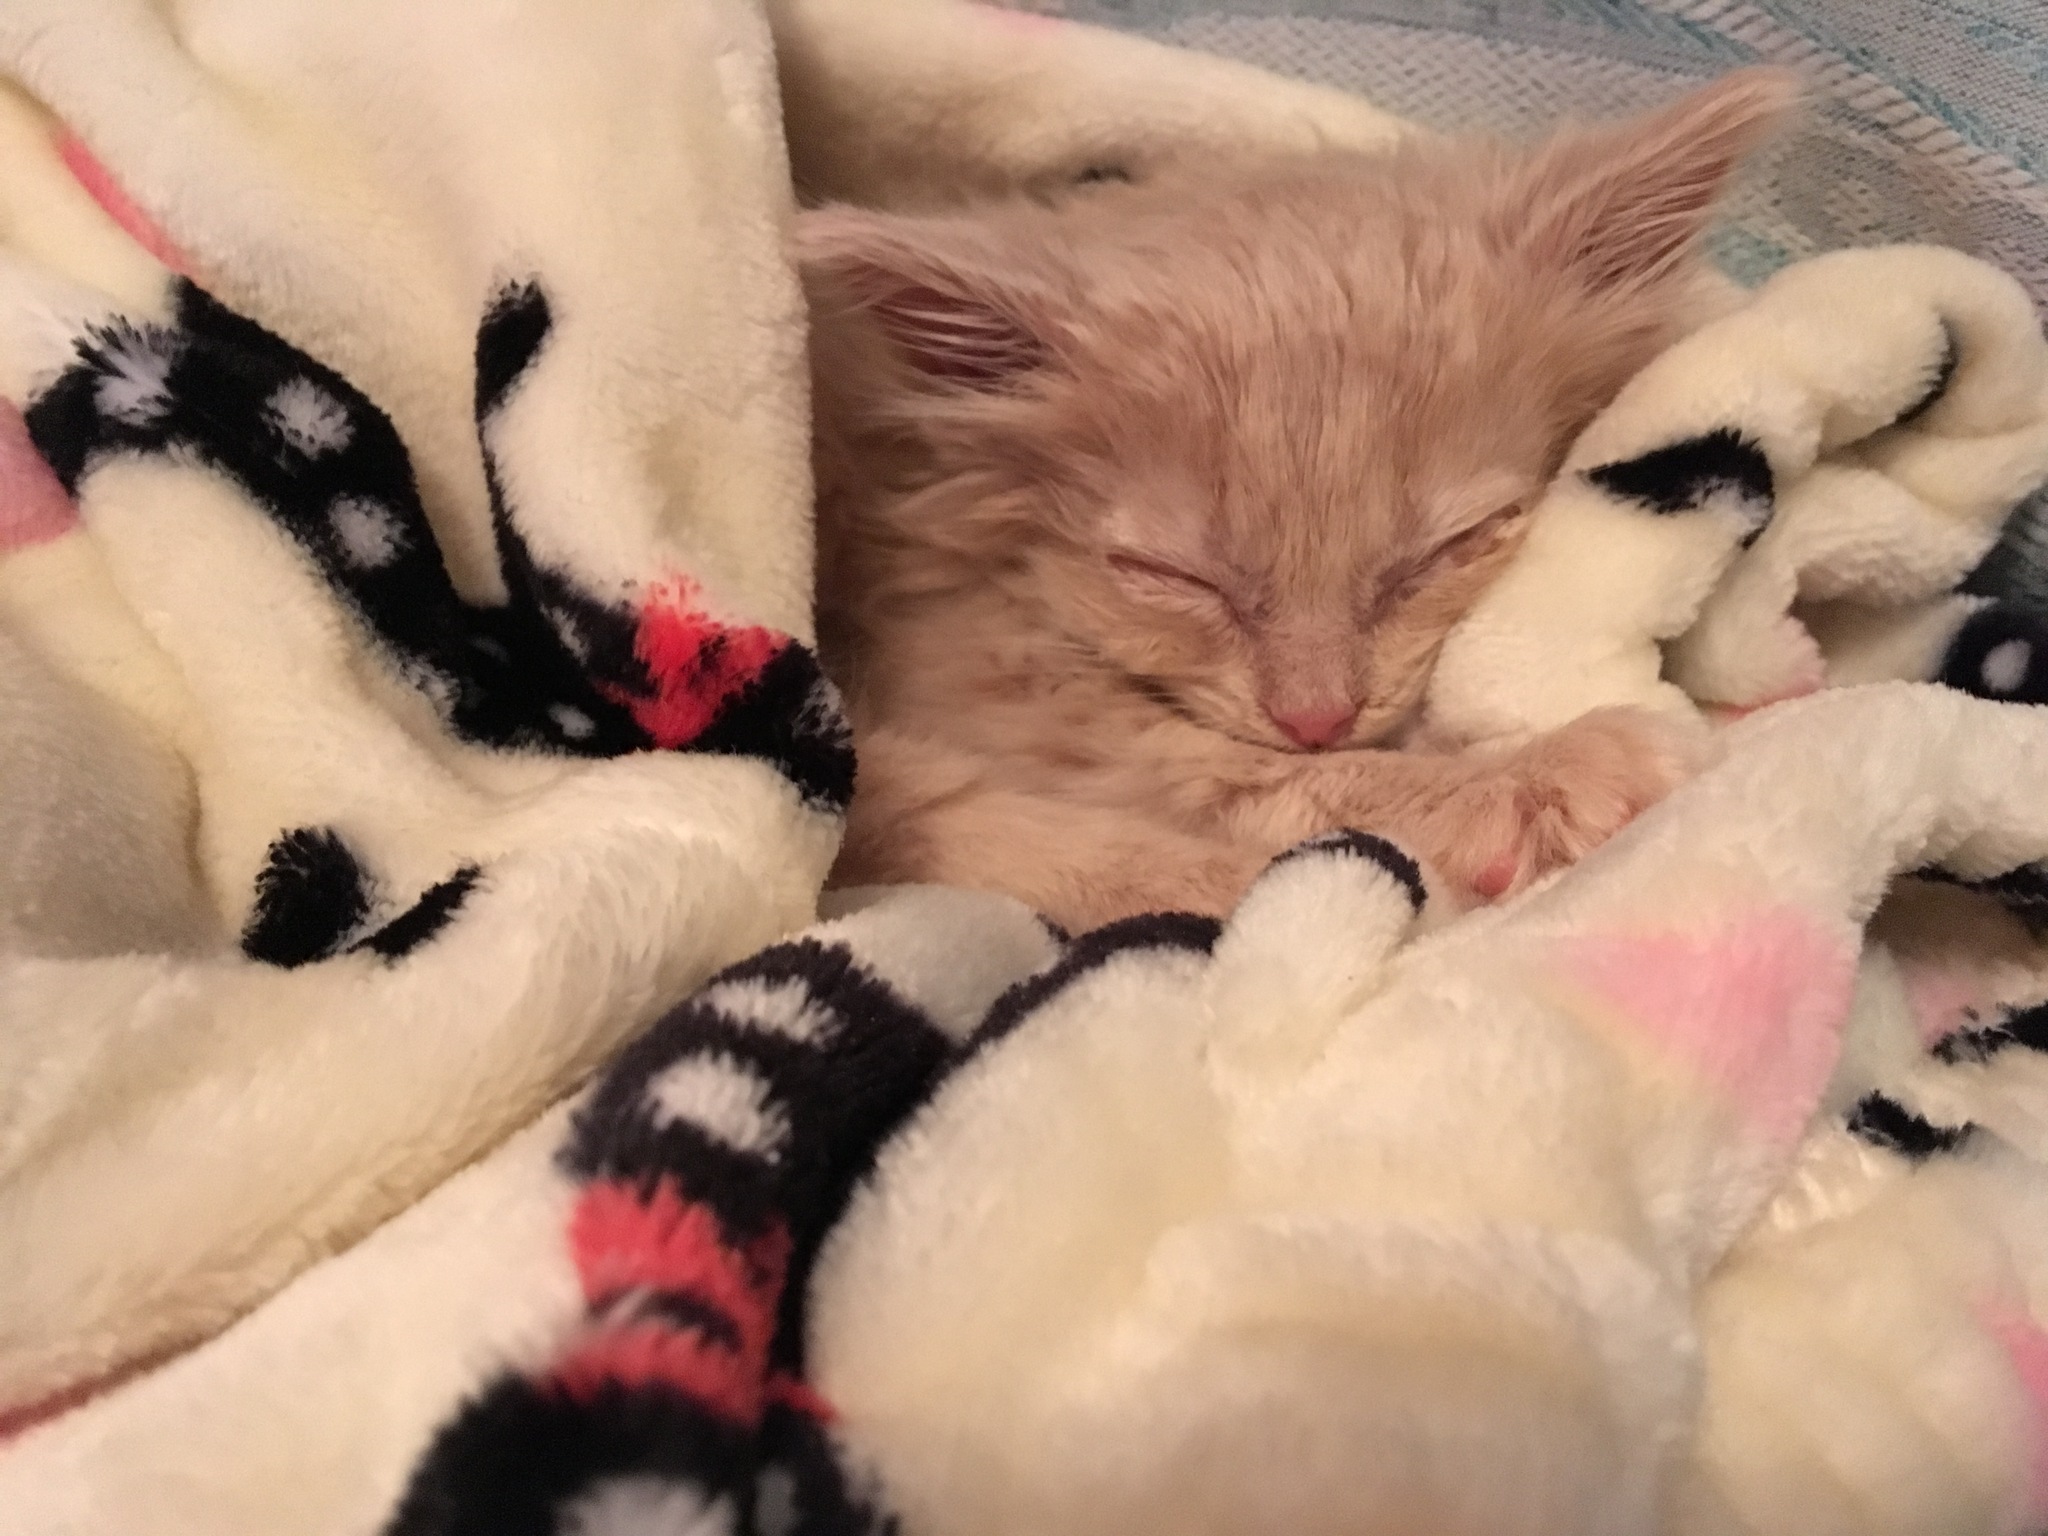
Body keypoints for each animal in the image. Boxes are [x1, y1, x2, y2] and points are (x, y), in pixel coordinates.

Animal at [801, 69, 1796, 932]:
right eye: (1170, 575)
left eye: (1448, 549)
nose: (1317, 719)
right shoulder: (974, 681)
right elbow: (1237, 776)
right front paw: (1520, 781)